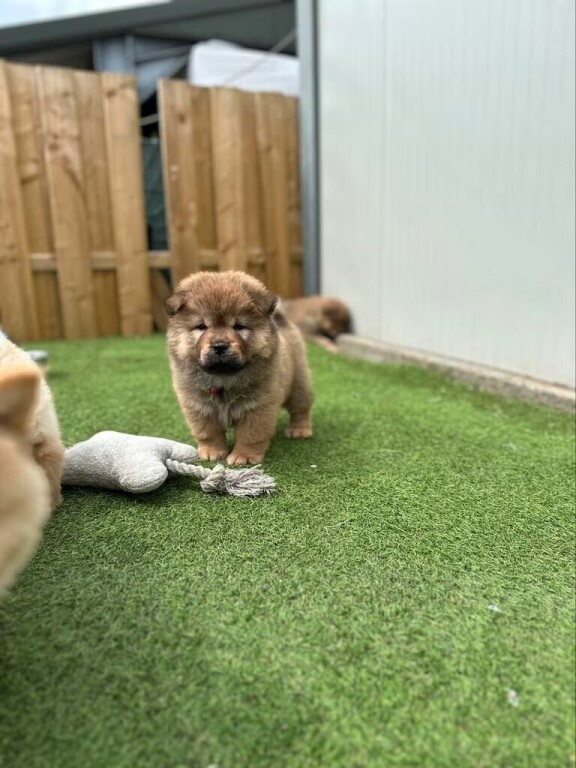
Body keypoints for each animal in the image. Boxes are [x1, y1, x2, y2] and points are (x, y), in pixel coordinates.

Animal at [165, 270, 316, 462]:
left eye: (238, 326)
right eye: (202, 326)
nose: (219, 345)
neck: (223, 380)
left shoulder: (258, 406)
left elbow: (250, 435)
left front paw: (243, 457)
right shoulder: (199, 407)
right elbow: (208, 433)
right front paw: (212, 452)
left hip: (298, 383)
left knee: (300, 408)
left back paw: (299, 430)